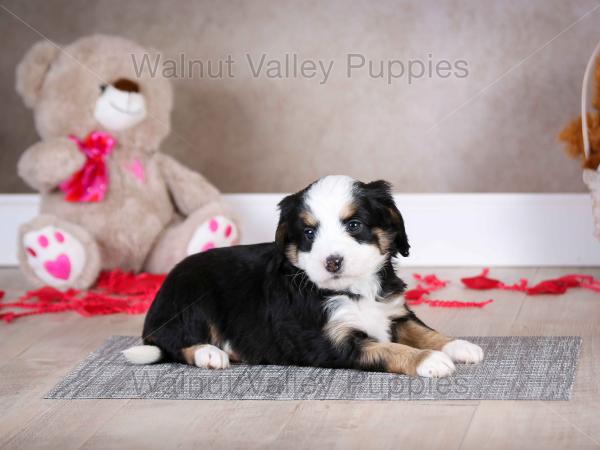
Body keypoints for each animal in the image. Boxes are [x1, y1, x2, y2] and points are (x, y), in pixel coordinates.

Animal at [124, 176, 486, 376]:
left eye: (354, 225)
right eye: (309, 232)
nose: (332, 262)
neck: (354, 290)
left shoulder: (394, 312)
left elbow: (424, 331)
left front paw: (457, 346)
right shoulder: (334, 342)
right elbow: (390, 350)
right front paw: (430, 361)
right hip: (192, 295)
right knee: (175, 342)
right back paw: (210, 353)